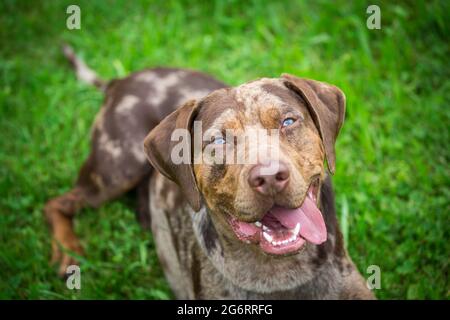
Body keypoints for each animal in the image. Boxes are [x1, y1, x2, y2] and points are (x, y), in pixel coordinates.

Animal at [44, 45, 374, 300]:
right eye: (218, 140)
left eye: (288, 121)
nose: (269, 177)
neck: (280, 274)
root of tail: (121, 81)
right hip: (117, 167)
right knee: (56, 203)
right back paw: (67, 251)